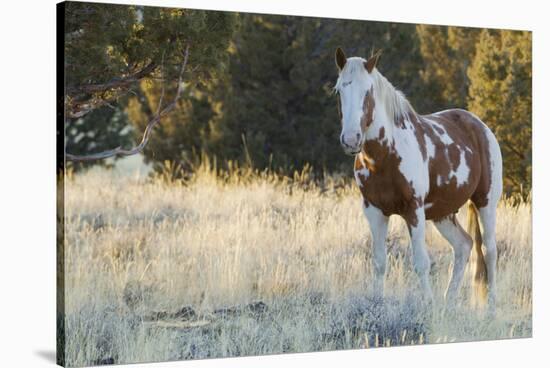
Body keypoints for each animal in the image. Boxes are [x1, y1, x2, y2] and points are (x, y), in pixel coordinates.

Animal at [334, 46, 506, 314]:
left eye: (368, 92)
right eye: (339, 90)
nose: (351, 139)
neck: (385, 154)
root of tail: (480, 126)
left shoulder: (413, 210)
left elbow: (421, 263)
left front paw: (427, 306)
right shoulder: (374, 211)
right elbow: (379, 263)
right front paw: (377, 307)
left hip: (486, 202)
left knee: (489, 251)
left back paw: (491, 308)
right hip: (443, 213)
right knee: (464, 246)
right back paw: (448, 303)